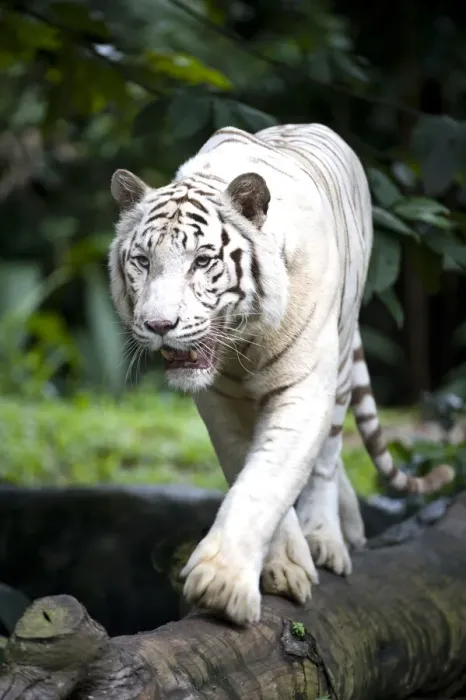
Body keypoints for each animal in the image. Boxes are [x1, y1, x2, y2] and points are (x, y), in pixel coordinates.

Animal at [108, 123, 454, 626]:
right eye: (142, 261)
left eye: (202, 261)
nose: (158, 325)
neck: (244, 339)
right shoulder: (221, 402)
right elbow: (248, 469)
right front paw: (282, 566)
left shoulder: (305, 386)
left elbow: (269, 478)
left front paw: (222, 583)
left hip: (340, 362)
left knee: (328, 458)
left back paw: (328, 538)